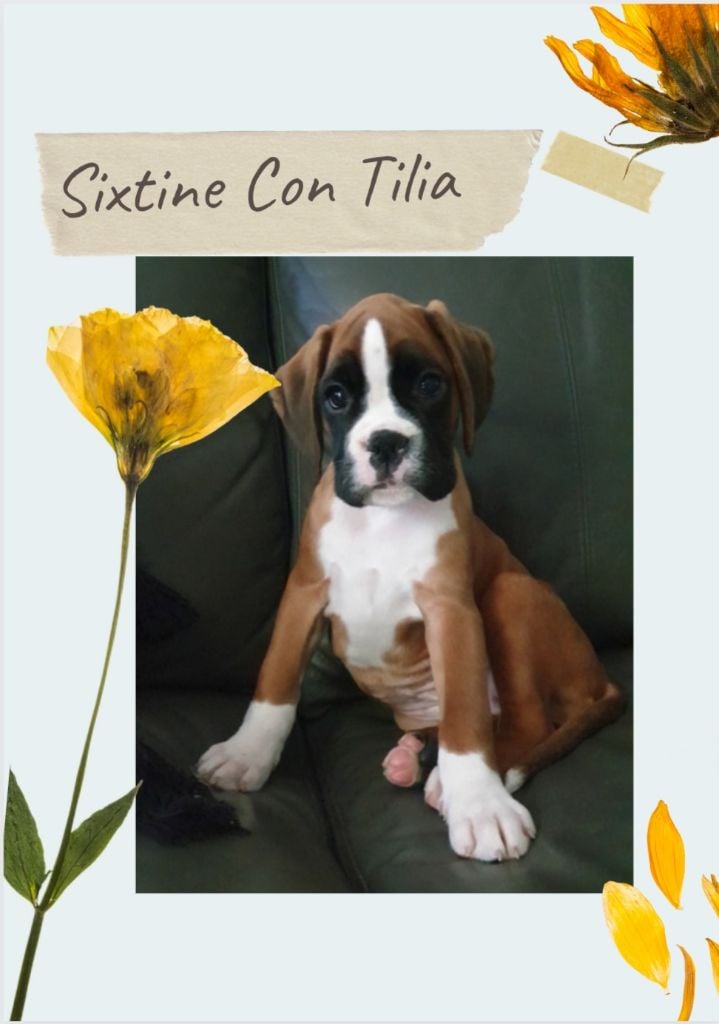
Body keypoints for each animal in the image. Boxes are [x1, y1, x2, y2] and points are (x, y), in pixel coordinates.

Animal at [197, 293, 624, 862]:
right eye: (336, 397)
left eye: (428, 385)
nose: (385, 442)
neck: (384, 519)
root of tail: (602, 681)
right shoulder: (304, 594)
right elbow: (276, 681)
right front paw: (246, 754)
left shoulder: (452, 611)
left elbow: (465, 716)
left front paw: (480, 806)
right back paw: (413, 758)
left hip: (509, 594)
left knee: (525, 722)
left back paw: (453, 780)